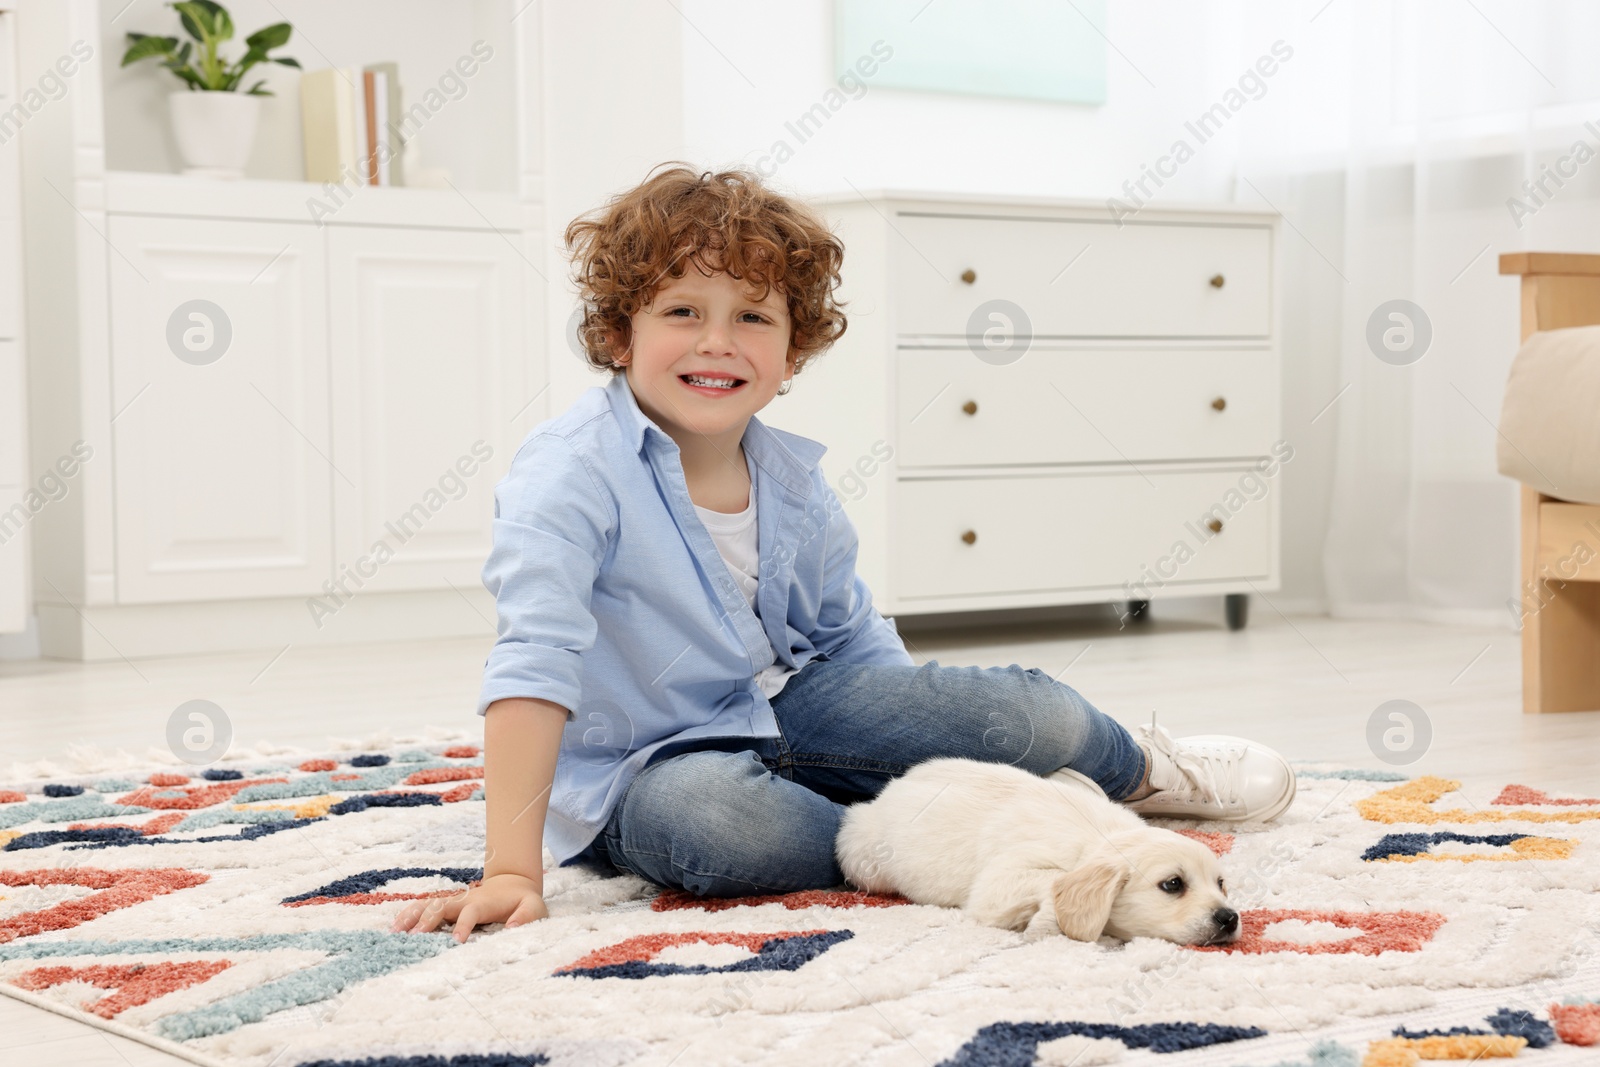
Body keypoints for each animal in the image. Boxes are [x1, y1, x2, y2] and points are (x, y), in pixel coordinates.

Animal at [832, 755, 1241, 947]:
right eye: (1172, 884)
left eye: (1221, 884)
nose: (1230, 918)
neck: (1101, 837)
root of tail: (894, 785)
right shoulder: (998, 882)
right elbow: (1053, 880)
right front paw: (1046, 922)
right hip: (860, 854)